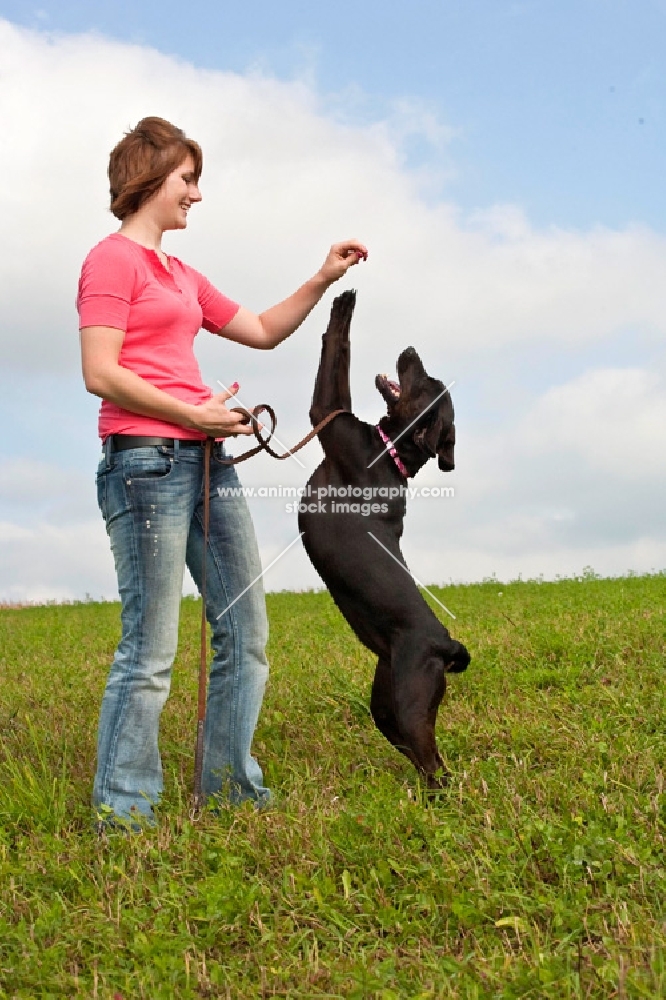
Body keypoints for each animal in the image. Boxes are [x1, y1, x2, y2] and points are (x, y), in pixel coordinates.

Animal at [298, 290, 470, 788]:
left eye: (426, 380)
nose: (410, 348)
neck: (393, 451)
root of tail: (445, 644)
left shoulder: (327, 414)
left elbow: (335, 345)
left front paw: (343, 298)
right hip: (385, 701)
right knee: (422, 756)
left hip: (411, 697)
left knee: (433, 764)